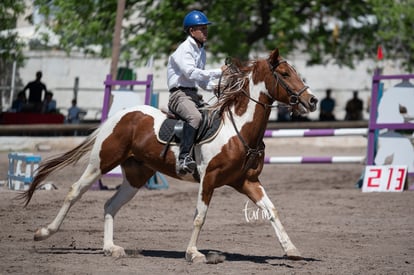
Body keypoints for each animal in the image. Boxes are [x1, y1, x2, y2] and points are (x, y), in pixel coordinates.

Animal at [21, 48, 318, 264]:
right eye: (284, 73)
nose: (312, 100)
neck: (238, 129)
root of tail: (121, 115)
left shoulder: (246, 182)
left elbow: (271, 210)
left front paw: (291, 249)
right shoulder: (209, 180)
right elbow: (200, 216)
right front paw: (193, 253)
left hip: (136, 176)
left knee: (110, 205)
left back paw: (110, 248)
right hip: (101, 163)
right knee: (74, 192)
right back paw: (43, 232)